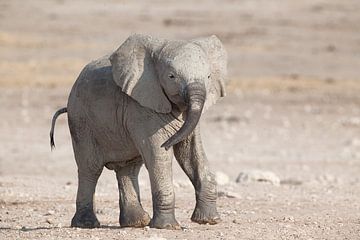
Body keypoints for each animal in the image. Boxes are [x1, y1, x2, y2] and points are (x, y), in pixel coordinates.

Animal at [49, 33, 226, 229]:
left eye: (209, 76)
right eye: (171, 76)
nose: (168, 142)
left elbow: (190, 153)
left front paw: (209, 220)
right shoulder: (140, 108)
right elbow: (158, 156)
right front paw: (167, 227)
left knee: (128, 169)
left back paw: (136, 223)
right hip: (81, 122)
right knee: (90, 168)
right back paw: (86, 224)